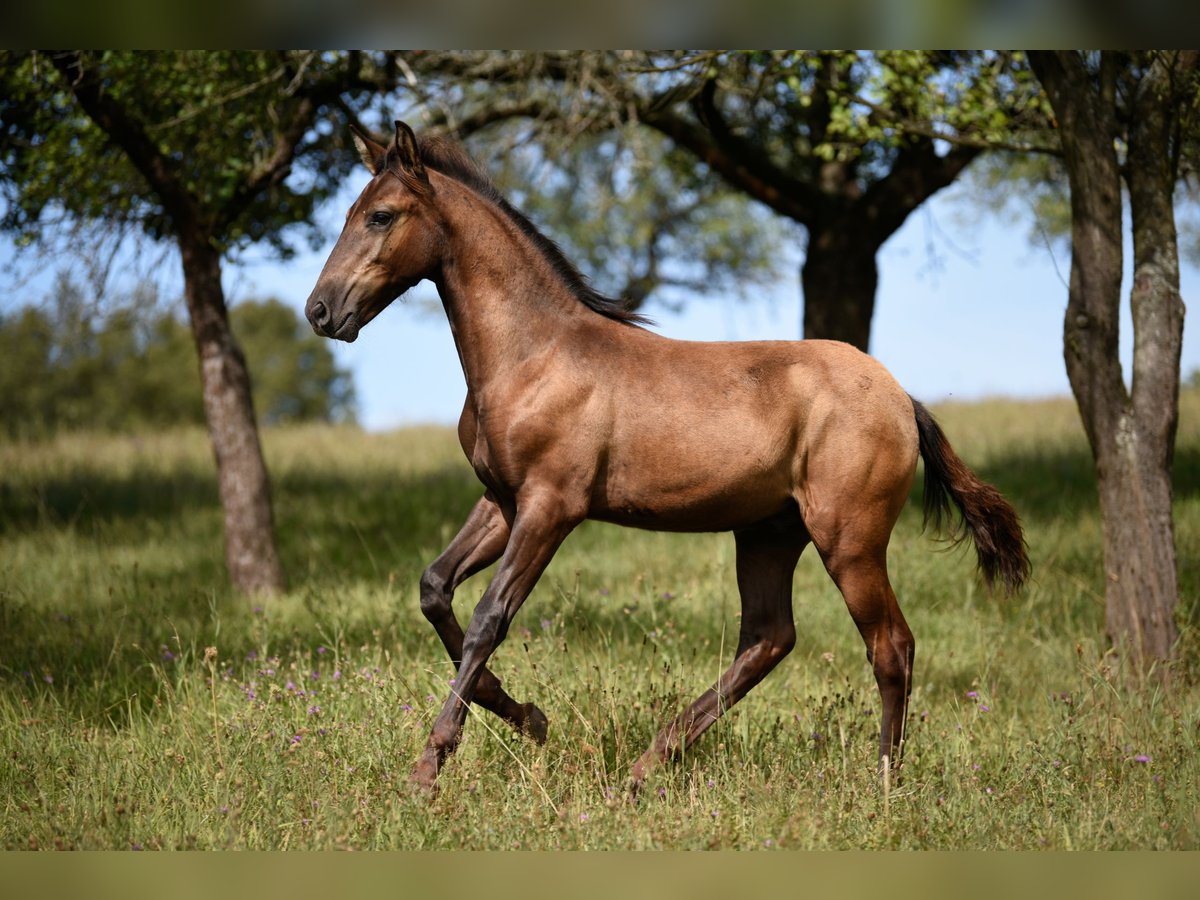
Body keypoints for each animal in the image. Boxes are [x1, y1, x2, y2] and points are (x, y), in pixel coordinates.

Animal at [304, 118, 1027, 796]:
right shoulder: (503, 502)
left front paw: (430, 765)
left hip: (849, 537)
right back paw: (648, 764)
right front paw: (528, 716)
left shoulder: (551, 507)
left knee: (890, 645)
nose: (320, 311)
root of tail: (903, 398)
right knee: (769, 637)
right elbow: (435, 590)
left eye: (380, 215)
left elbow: (489, 618)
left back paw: (883, 782)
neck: (533, 355)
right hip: (768, 532)